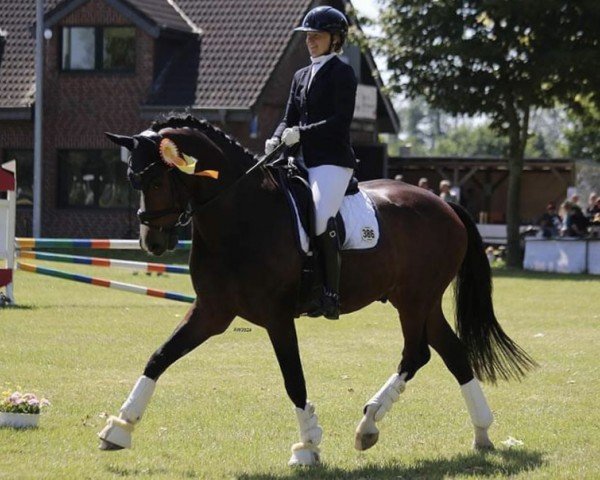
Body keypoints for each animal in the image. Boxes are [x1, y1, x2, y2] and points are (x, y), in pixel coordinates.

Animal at [98, 115, 536, 464]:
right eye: (132, 180)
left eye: (157, 178)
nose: (152, 243)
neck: (240, 215)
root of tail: (444, 204)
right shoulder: (211, 311)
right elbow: (159, 357)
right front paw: (119, 428)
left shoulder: (276, 316)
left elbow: (293, 378)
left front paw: (307, 446)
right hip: (420, 301)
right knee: (454, 353)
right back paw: (481, 433)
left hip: (414, 299)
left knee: (417, 354)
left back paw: (368, 424)